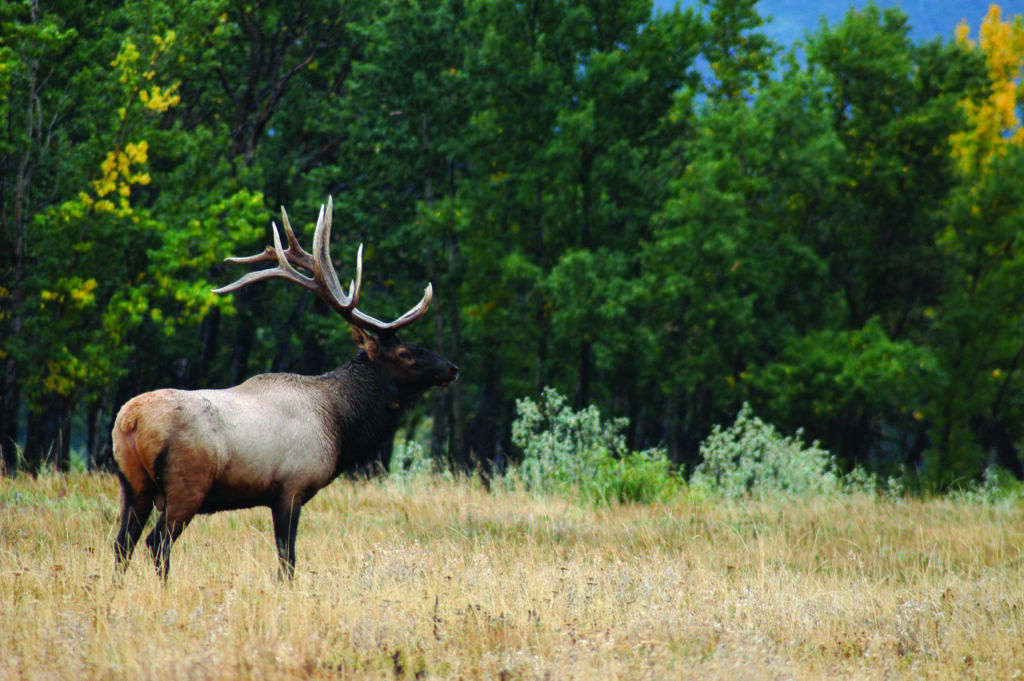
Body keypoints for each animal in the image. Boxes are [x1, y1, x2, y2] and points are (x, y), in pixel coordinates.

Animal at [111, 198, 458, 580]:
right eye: (405, 353)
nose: (451, 367)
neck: (338, 427)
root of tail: (130, 421)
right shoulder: (291, 488)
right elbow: (287, 559)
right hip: (186, 484)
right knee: (157, 543)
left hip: (132, 484)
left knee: (122, 543)